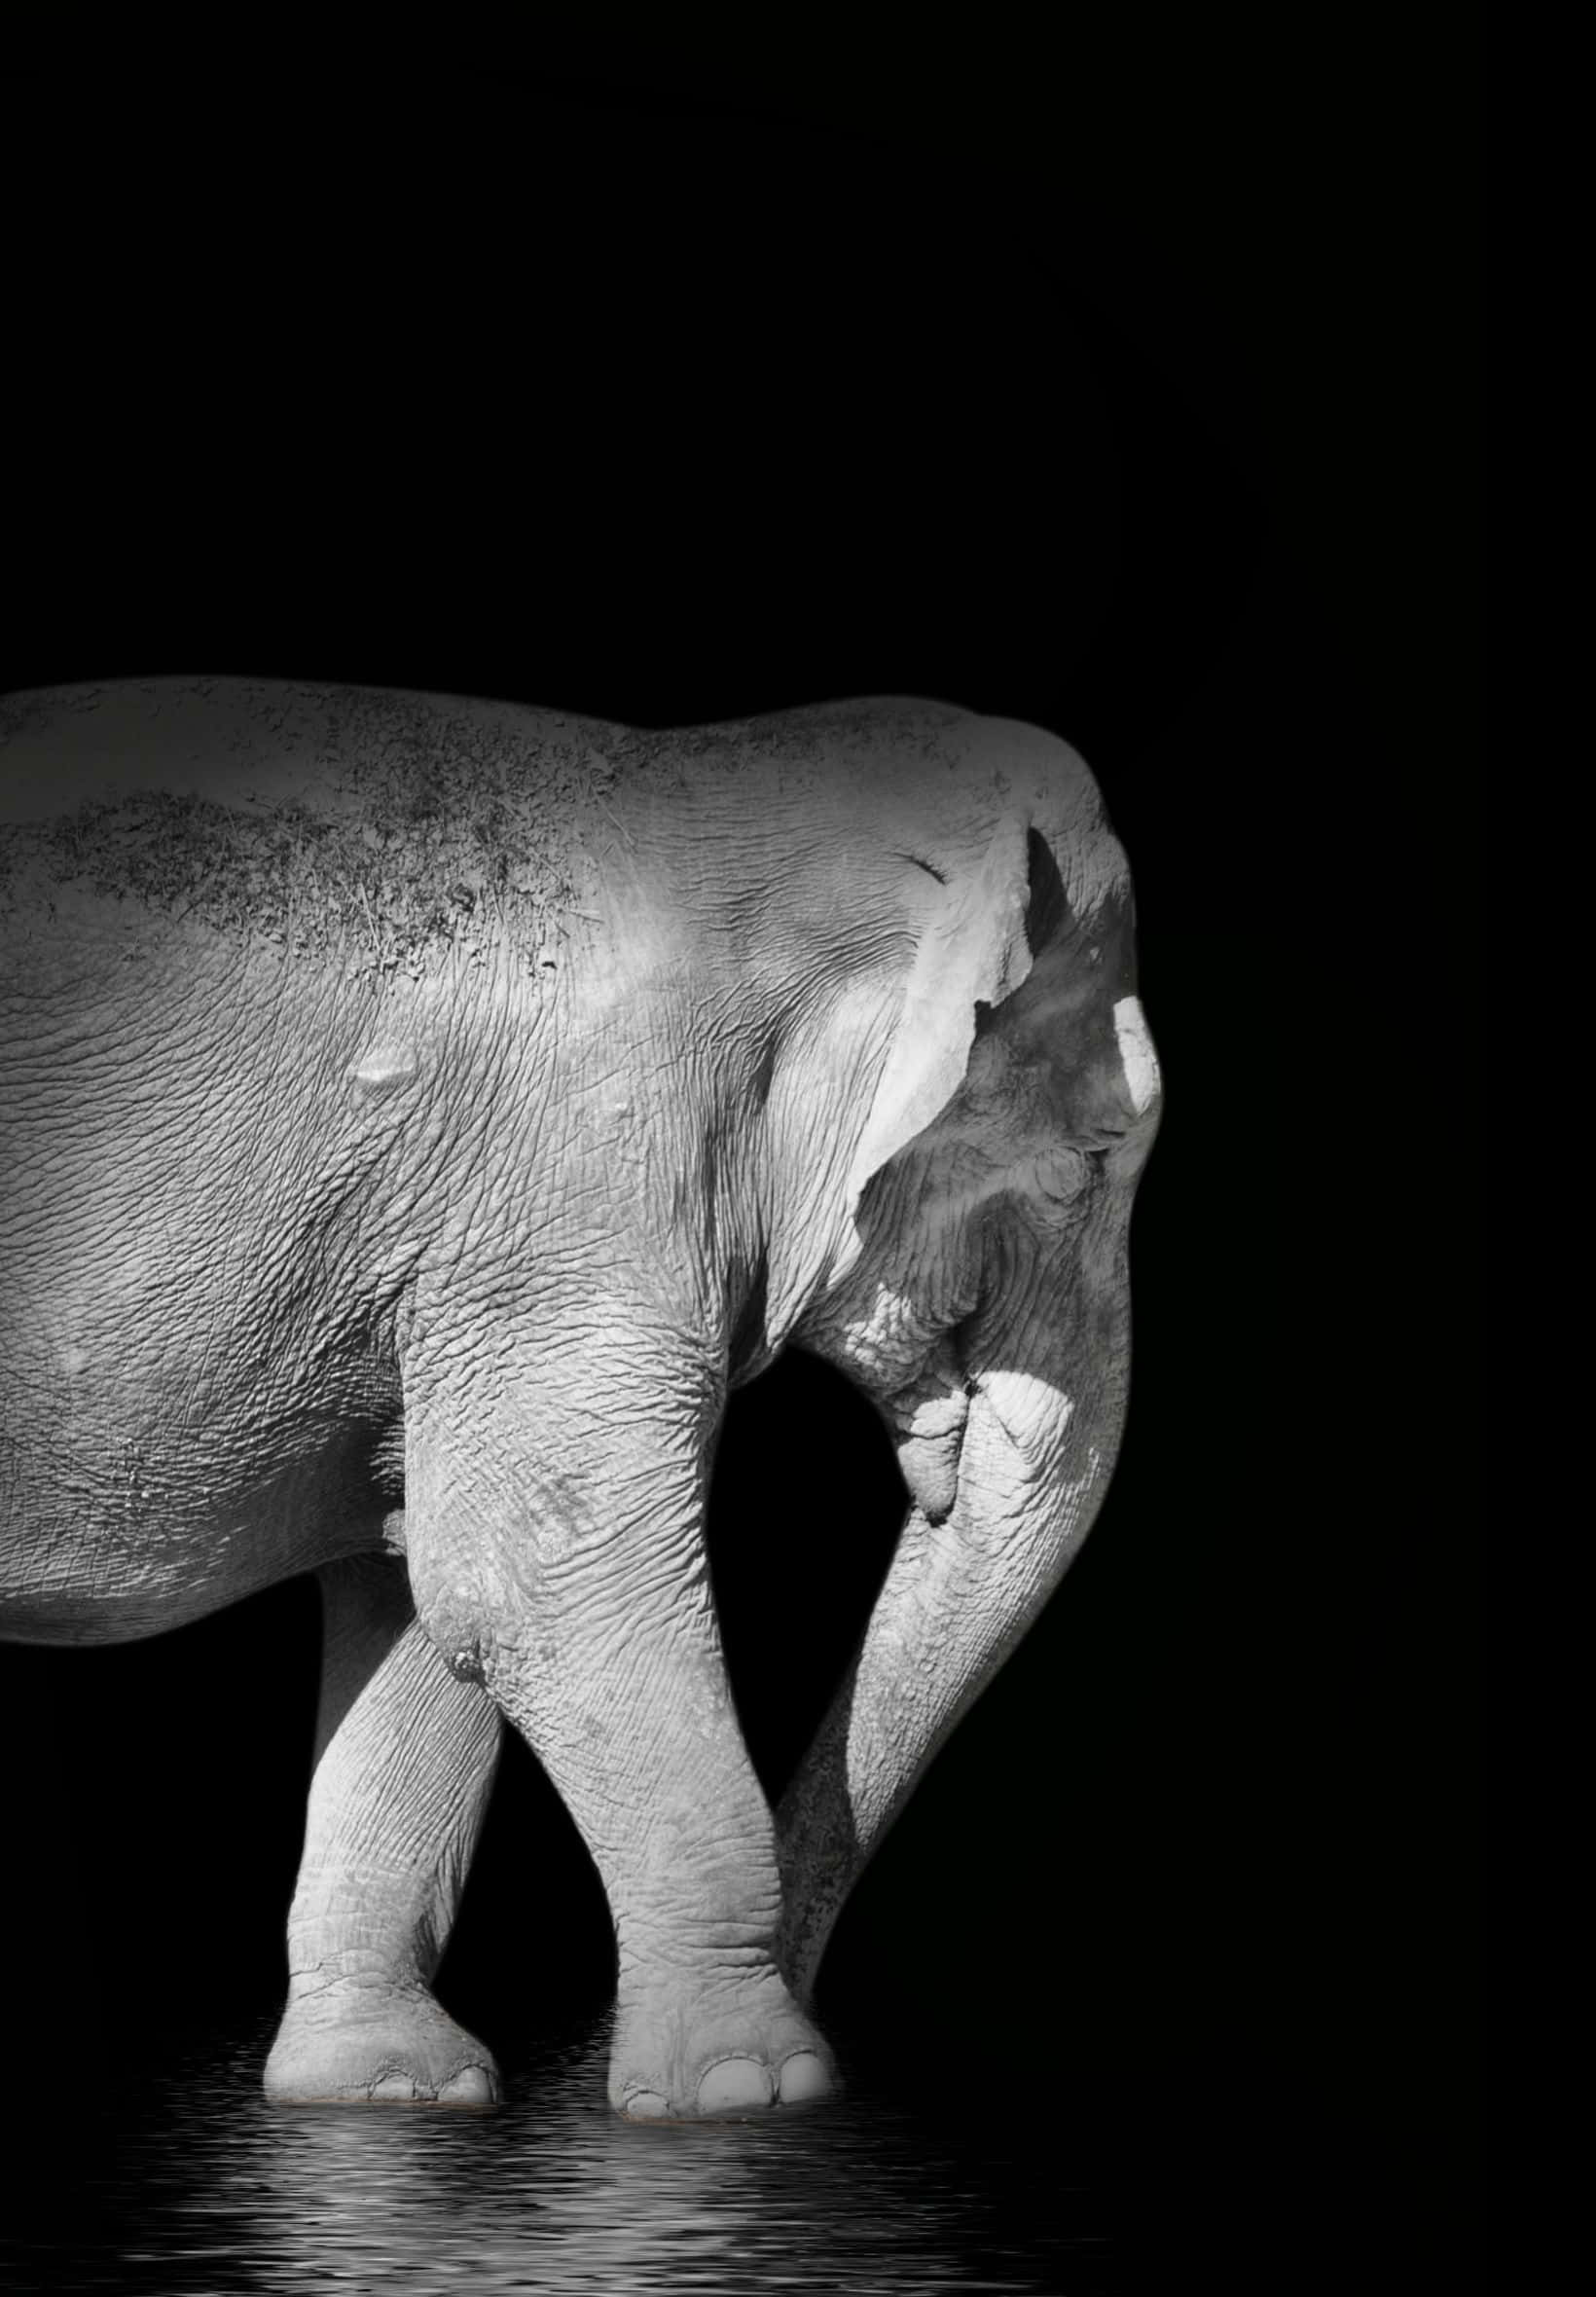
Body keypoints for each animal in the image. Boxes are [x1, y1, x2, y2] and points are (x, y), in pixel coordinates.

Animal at [0, 676, 1161, 2122]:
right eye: (1091, 1161)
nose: (938, 1463)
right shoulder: (581, 1185)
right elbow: (528, 1580)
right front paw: (752, 2095)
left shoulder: (456, 1248)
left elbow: (418, 1584)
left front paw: (393, 2092)